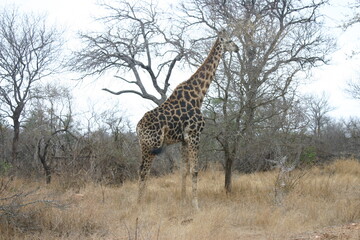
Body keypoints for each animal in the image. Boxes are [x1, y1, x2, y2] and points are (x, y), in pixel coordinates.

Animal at [136, 30, 238, 209]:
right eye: (230, 40)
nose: (237, 48)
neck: (198, 95)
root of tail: (137, 127)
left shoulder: (183, 139)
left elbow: (184, 170)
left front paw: (183, 201)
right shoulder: (195, 134)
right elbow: (195, 170)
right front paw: (196, 205)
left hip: (144, 146)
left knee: (140, 170)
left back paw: (138, 201)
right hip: (151, 145)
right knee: (144, 171)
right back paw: (139, 204)